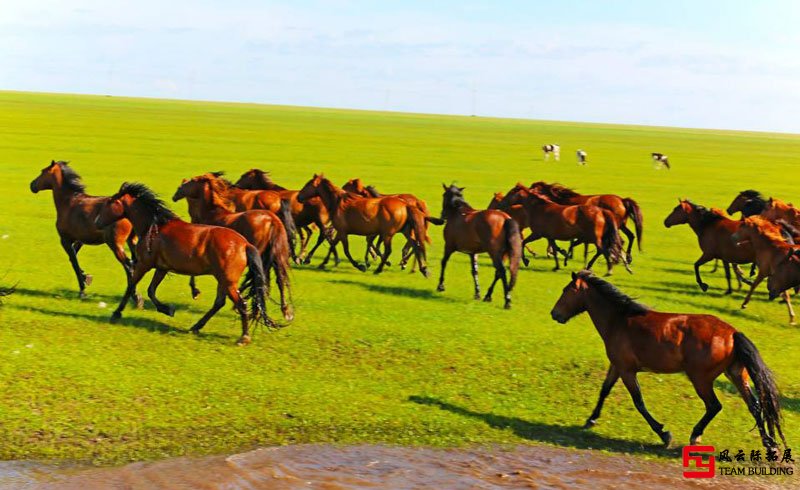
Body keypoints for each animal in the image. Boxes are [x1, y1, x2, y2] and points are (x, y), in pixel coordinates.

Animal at [28, 161, 142, 304]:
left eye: (43, 171)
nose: (32, 185)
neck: (68, 202)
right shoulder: (79, 240)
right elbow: (73, 258)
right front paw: (86, 277)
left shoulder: (65, 240)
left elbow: (74, 262)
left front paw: (82, 290)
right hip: (132, 241)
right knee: (136, 264)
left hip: (115, 244)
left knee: (129, 266)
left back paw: (135, 297)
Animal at [94, 182, 272, 346]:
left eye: (109, 202)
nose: (96, 222)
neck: (153, 228)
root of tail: (245, 245)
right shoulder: (161, 268)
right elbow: (151, 290)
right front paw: (168, 309)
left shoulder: (144, 264)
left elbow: (131, 286)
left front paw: (116, 313)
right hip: (223, 280)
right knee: (219, 303)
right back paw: (196, 327)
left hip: (228, 282)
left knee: (241, 304)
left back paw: (243, 338)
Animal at [172, 173, 294, 322]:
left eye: (191, 181)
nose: (176, 194)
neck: (212, 213)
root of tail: (272, 220)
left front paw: (195, 291)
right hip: (276, 256)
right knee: (279, 279)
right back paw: (285, 311)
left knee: (258, 278)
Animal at [296, 173, 432, 276]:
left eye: (308, 185)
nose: (298, 197)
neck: (338, 202)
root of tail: (406, 204)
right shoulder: (341, 231)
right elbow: (333, 245)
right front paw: (322, 263)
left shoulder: (344, 232)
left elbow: (346, 250)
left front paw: (361, 265)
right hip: (405, 230)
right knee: (415, 245)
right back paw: (422, 269)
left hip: (388, 234)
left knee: (390, 250)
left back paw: (380, 269)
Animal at [552, 270, 788, 454]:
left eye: (565, 290)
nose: (554, 314)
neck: (619, 320)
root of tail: (732, 333)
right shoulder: (617, 366)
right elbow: (604, 390)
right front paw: (591, 419)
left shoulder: (628, 371)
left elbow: (639, 402)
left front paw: (664, 434)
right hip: (736, 374)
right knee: (755, 406)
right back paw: (770, 445)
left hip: (701, 379)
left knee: (714, 406)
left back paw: (696, 435)